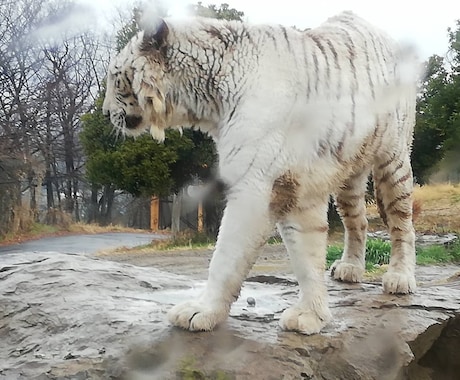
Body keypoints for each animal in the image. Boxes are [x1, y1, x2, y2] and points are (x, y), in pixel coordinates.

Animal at [102, 10, 418, 334]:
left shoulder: (256, 185)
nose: (104, 112)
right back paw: (350, 268)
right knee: (358, 221)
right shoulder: (297, 188)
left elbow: (225, 257)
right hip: (350, 175)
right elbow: (307, 255)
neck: (211, 100)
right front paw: (311, 315)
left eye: (114, 77)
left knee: (402, 223)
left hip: (393, 161)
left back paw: (400, 278)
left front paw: (200, 311)